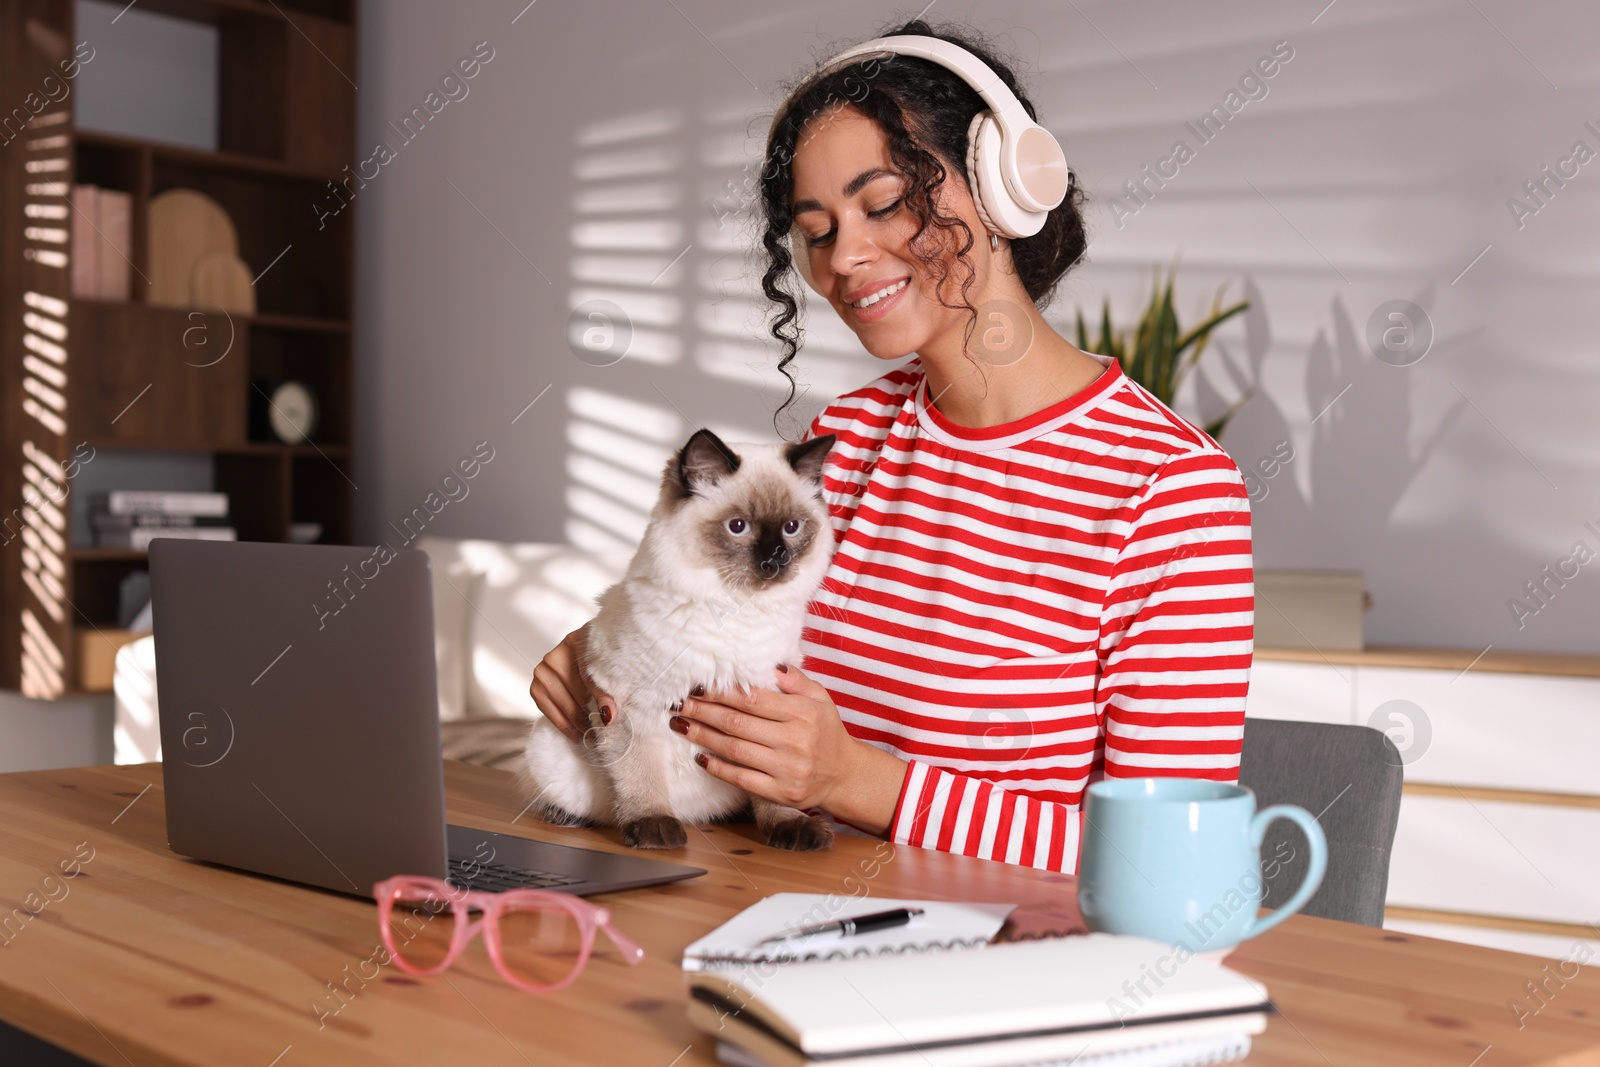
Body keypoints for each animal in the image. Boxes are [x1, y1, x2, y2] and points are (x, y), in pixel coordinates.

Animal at [521, 425, 851, 851]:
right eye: (738, 527)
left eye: (792, 528)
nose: (776, 558)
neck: (735, 611)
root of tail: (695, 815)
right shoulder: (630, 704)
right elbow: (642, 776)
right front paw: (654, 829)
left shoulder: (768, 705)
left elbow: (772, 789)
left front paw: (789, 827)